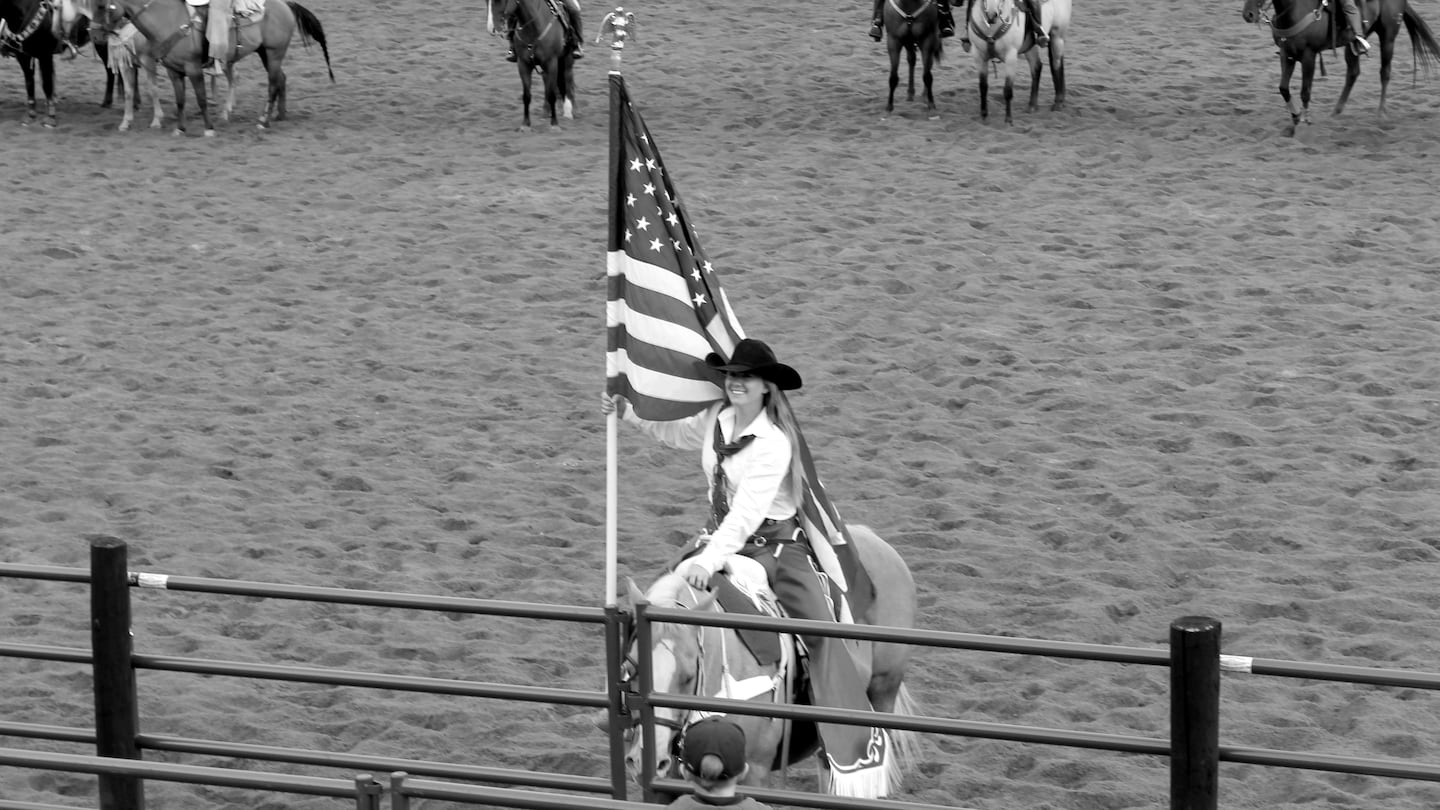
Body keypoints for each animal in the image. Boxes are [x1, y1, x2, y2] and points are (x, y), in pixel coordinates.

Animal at [94, 0, 332, 135]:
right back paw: (278, 115)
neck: (166, 20)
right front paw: (179, 129)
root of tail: (287, 5)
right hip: (265, 52)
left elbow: (200, 97)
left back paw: (263, 122)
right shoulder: (173, 70)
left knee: (272, 84)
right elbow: (179, 99)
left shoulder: (191, 68)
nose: (95, 34)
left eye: (102, 6)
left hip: (274, 53)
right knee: (281, 78)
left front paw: (208, 128)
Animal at [486, 0, 570, 128]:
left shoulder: (551, 63)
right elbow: (526, 96)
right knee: (547, 82)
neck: (534, 27)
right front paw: (525, 124)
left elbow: (552, 95)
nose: (491, 29)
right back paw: (546, 111)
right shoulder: (523, 64)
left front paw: (554, 124)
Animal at [1238, 0, 1440, 134]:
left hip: (1388, 36)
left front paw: (1305, 122)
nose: (1248, 15)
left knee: (1385, 72)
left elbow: (1305, 91)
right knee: (1353, 72)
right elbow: (1283, 88)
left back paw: (1381, 114)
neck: (1295, 9)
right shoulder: (1286, 54)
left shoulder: (1309, 56)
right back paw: (1336, 112)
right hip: (1352, 44)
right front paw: (1295, 117)